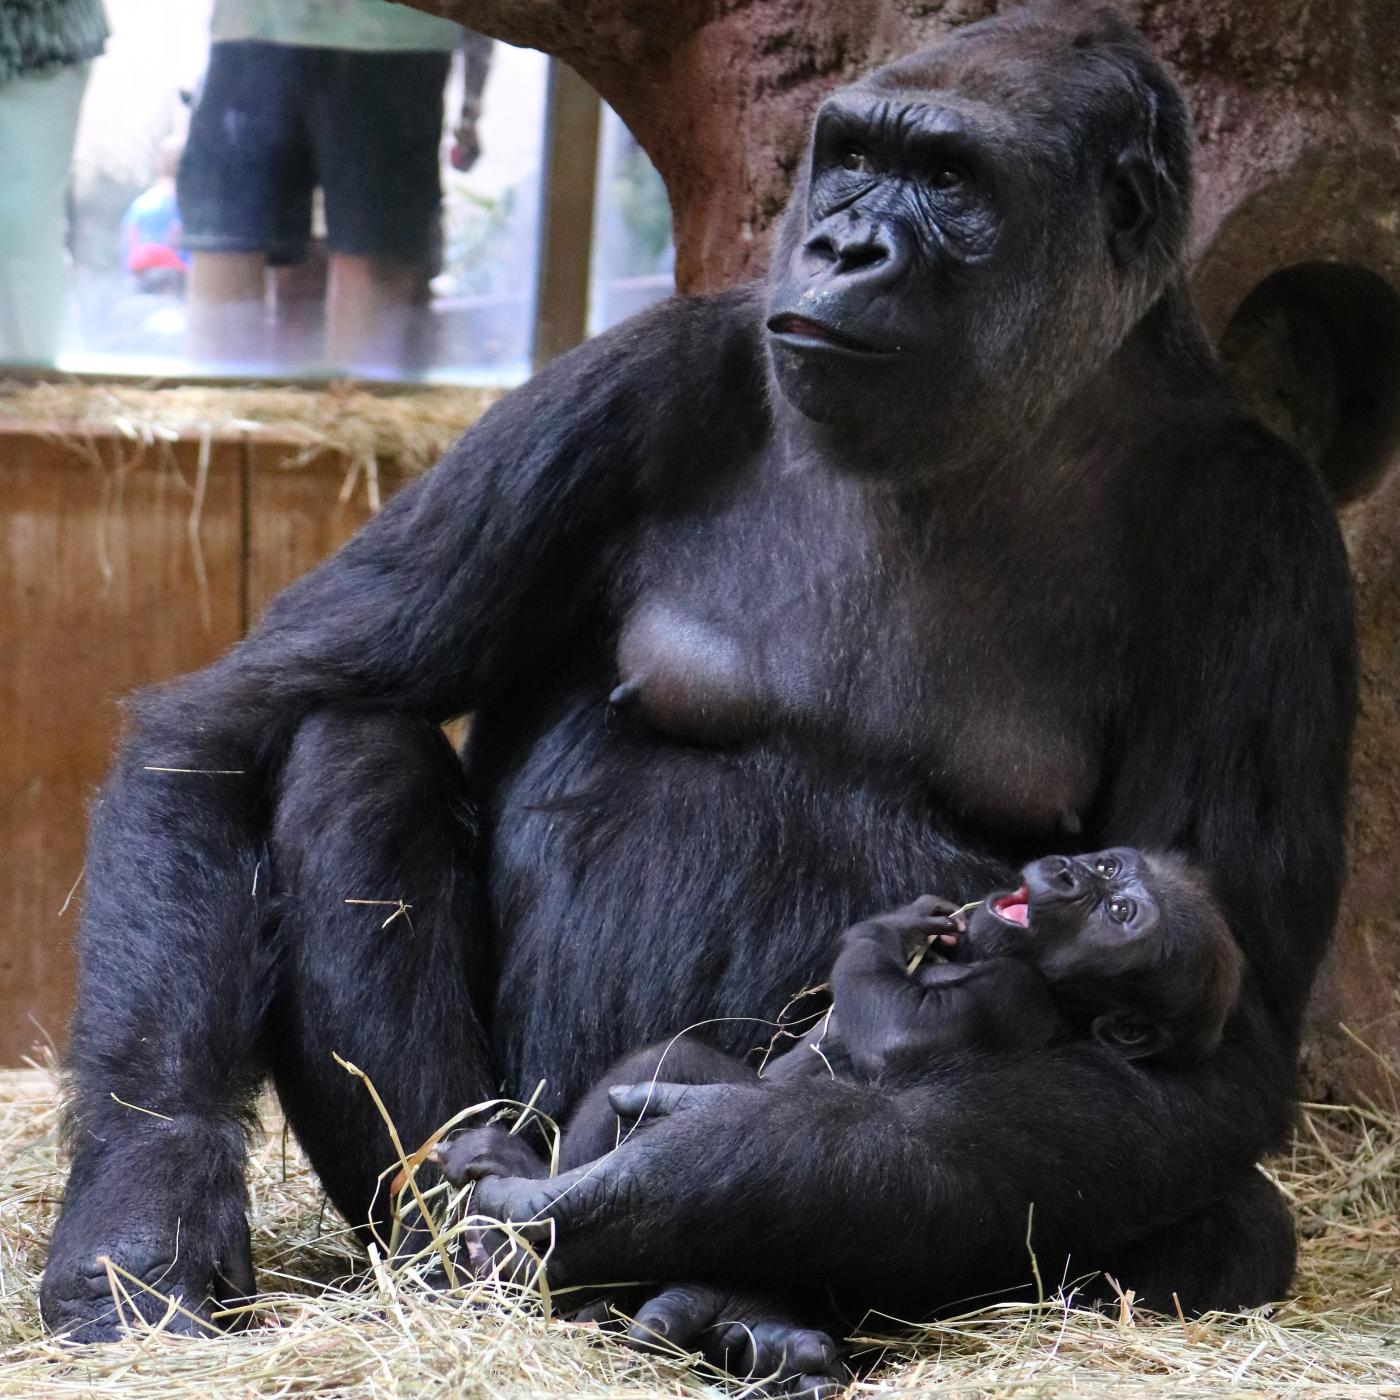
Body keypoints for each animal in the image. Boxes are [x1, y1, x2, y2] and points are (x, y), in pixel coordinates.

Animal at [46, 0, 1355, 1355]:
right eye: (852, 158)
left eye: (950, 179)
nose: (842, 244)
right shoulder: (635, 379)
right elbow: (234, 720)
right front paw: (141, 1220)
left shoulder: (1270, 543)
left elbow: (1220, 1047)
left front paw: (706, 1176)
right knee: (349, 745)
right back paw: (453, 1228)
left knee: (1233, 1222)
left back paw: (724, 1295)